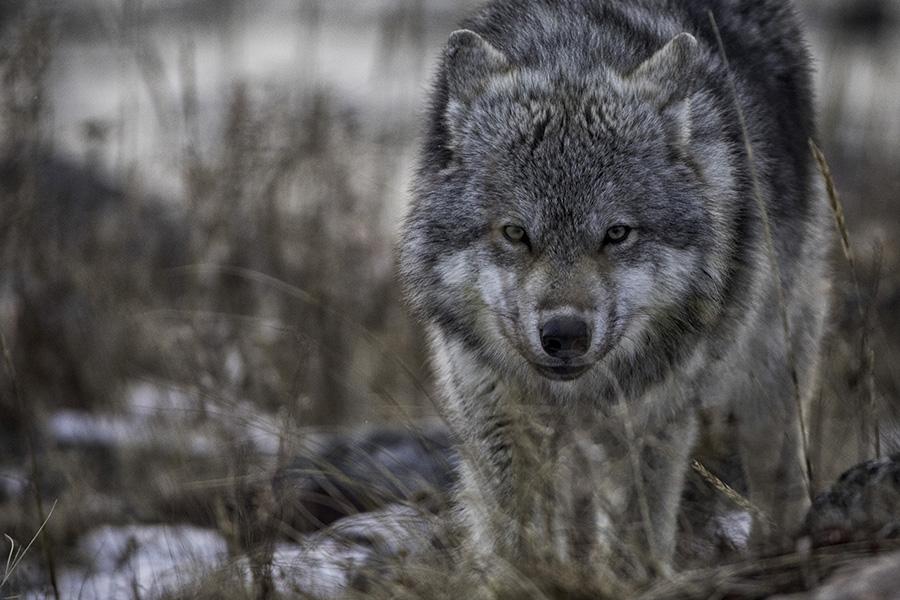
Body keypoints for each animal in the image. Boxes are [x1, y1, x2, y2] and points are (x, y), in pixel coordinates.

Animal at [399, 0, 830, 580]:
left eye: (617, 233)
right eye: (515, 233)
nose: (564, 334)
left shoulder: (654, 419)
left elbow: (635, 536)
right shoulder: (495, 410)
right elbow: (517, 533)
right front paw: (530, 580)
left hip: (769, 374)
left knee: (778, 475)